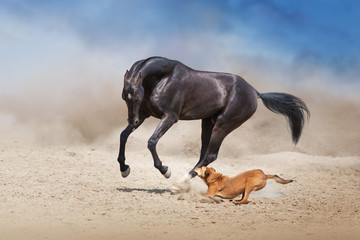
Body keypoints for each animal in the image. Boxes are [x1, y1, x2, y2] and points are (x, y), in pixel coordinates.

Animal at [116, 57, 308, 179]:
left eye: (137, 97)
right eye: (124, 97)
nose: (132, 121)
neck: (164, 78)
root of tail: (255, 92)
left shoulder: (169, 117)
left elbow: (151, 142)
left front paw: (165, 170)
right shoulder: (144, 114)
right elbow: (123, 135)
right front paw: (124, 169)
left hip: (223, 125)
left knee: (211, 155)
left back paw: (182, 181)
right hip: (208, 123)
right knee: (204, 154)